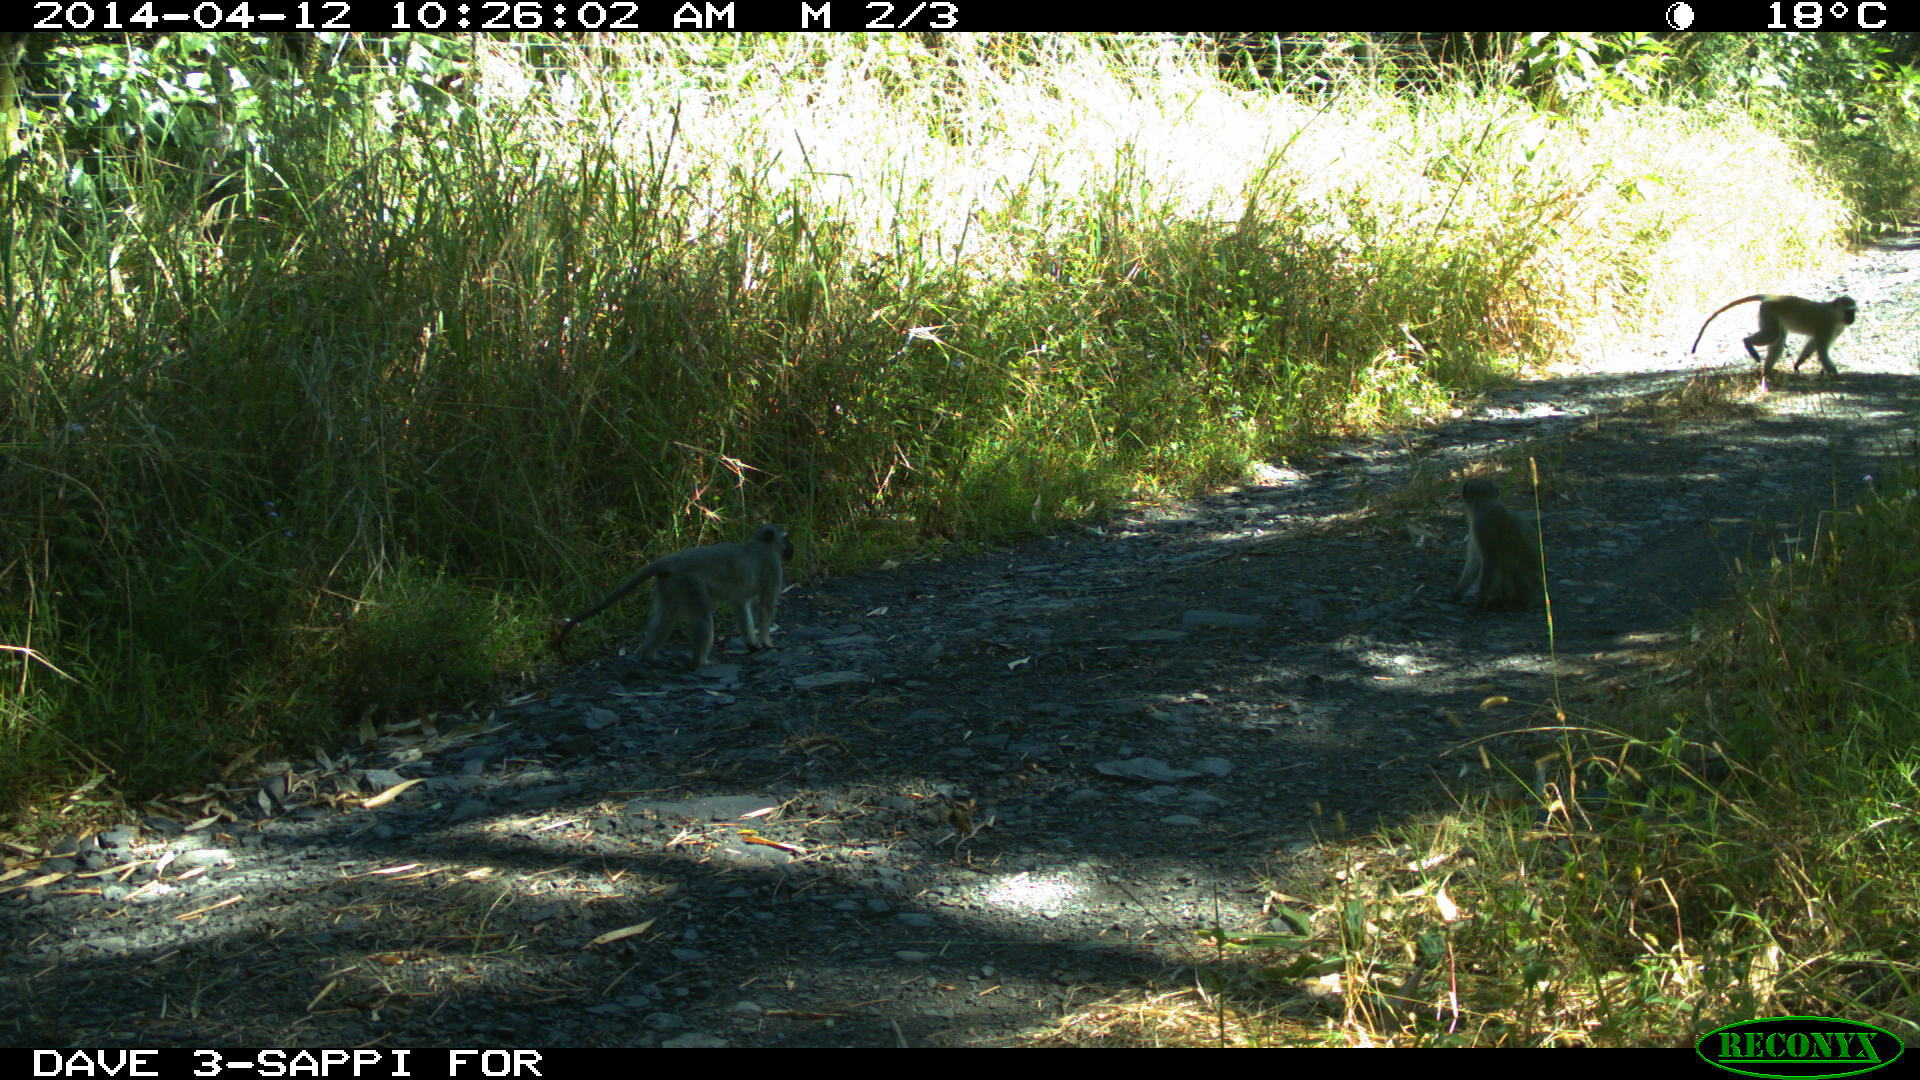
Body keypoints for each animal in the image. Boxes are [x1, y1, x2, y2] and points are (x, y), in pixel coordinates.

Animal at [556, 522, 794, 664]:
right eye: (786, 537)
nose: (792, 549)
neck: (761, 544)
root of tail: (673, 560)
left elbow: (740, 605)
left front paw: (753, 645)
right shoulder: (773, 566)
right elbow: (766, 606)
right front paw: (767, 643)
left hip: (670, 583)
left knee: (666, 617)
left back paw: (648, 656)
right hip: (689, 583)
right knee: (702, 619)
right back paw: (700, 663)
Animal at [1451, 476, 1543, 611]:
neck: (1486, 503)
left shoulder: (1481, 525)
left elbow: (1490, 561)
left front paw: (1479, 604)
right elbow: (1475, 562)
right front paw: (1457, 593)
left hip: (1528, 586)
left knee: (1507, 564)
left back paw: (1507, 602)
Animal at [1697, 294, 1858, 378]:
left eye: (1853, 311)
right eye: (1849, 311)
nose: (1852, 319)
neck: (1834, 313)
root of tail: (1771, 297)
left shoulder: (1838, 327)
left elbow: (1812, 344)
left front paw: (1798, 364)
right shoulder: (1828, 325)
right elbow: (1822, 351)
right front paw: (1836, 375)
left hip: (1771, 315)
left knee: (1777, 341)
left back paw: (1767, 372)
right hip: (1768, 311)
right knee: (1772, 335)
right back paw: (1748, 343)